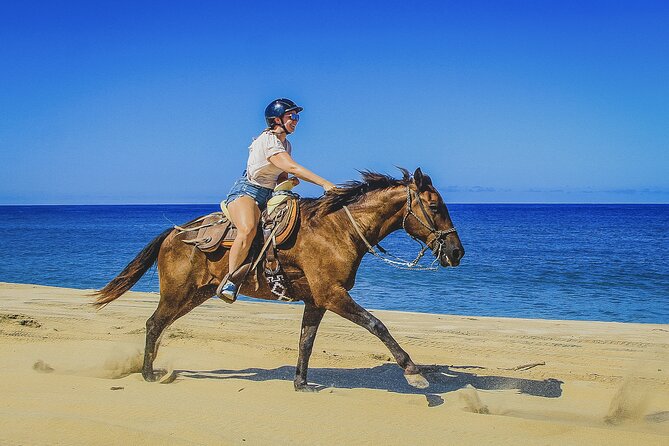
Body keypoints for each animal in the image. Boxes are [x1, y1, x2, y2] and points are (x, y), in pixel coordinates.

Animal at [92, 167, 464, 390]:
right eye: (434, 207)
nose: (457, 252)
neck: (337, 229)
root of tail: (175, 233)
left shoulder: (317, 300)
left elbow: (305, 342)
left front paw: (301, 383)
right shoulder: (333, 295)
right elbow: (377, 325)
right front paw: (413, 372)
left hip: (195, 295)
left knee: (159, 325)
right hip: (177, 293)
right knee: (154, 324)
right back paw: (148, 373)